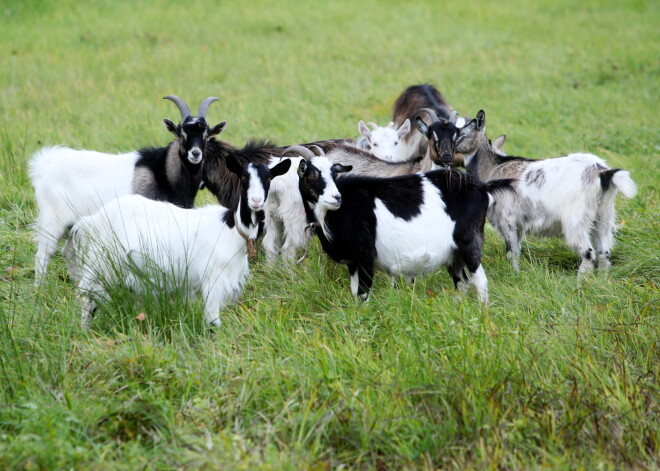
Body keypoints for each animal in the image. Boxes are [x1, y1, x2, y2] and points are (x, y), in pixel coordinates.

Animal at [29, 94, 226, 282]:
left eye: (206, 135)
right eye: (181, 133)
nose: (195, 153)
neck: (163, 172)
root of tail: (44, 166)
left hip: (73, 224)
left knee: (68, 253)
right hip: (52, 220)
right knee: (43, 254)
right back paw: (40, 288)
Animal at [69, 155, 292, 328]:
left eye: (269, 177)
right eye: (244, 177)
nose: (256, 201)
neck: (231, 228)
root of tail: (95, 218)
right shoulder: (213, 280)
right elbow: (213, 322)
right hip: (101, 262)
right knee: (86, 298)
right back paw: (85, 330)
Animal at [294, 146, 516, 304]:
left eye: (334, 174)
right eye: (311, 175)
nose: (336, 197)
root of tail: (481, 187)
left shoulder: (365, 257)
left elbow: (362, 295)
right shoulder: (353, 262)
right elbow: (355, 292)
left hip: (469, 242)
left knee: (480, 281)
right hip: (454, 254)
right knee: (461, 281)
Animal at [456, 109, 636, 272]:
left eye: (463, 132)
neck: (493, 168)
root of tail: (600, 171)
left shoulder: (507, 220)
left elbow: (511, 252)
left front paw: (515, 274)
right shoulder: (519, 224)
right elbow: (517, 250)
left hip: (576, 219)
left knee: (588, 253)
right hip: (604, 214)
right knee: (604, 252)